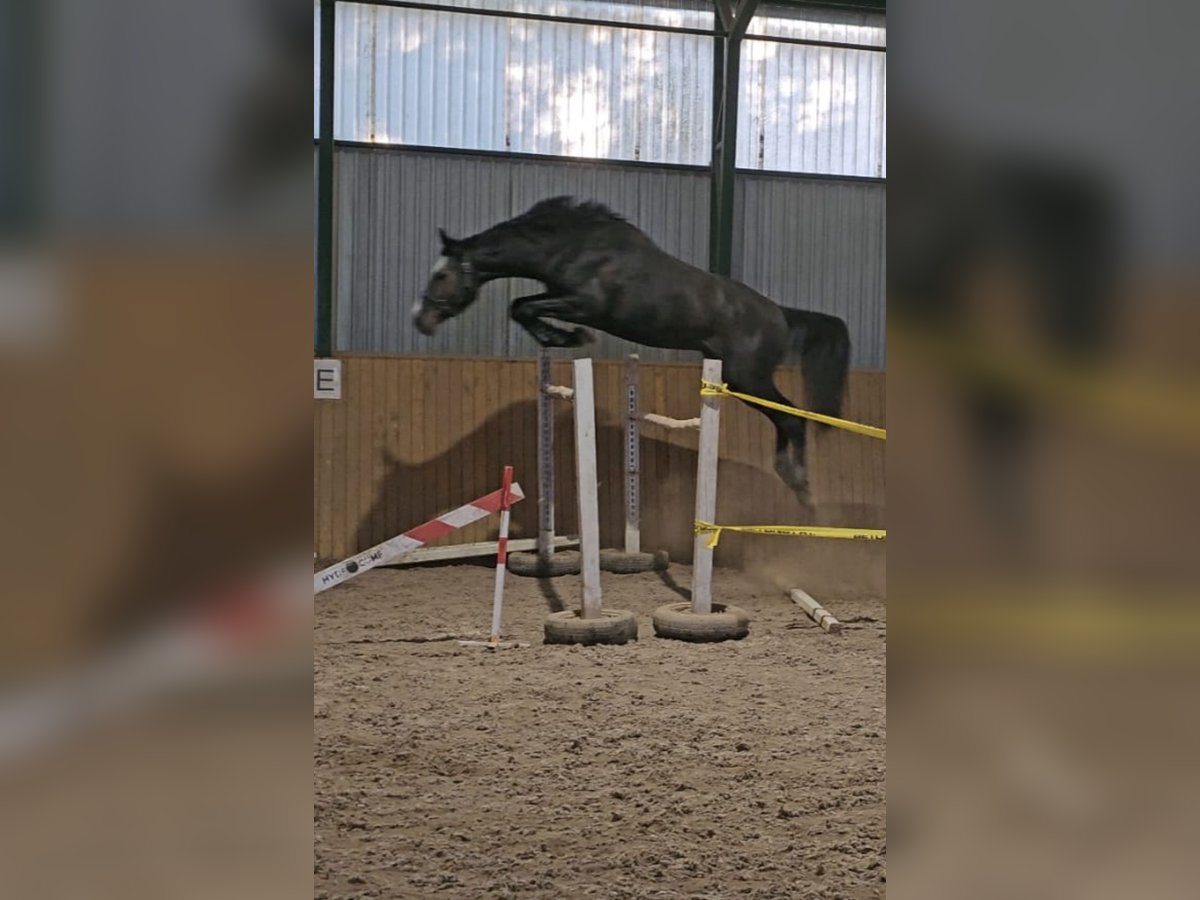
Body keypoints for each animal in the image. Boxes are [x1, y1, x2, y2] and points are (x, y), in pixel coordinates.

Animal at [412, 198, 854, 508]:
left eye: (442, 275)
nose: (421, 319)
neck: (573, 247)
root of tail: (780, 313)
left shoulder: (583, 304)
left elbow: (522, 307)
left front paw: (568, 337)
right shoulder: (562, 296)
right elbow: (521, 305)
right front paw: (559, 338)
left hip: (747, 377)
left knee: (793, 418)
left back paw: (803, 488)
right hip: (739, 378)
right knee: (786, 419)